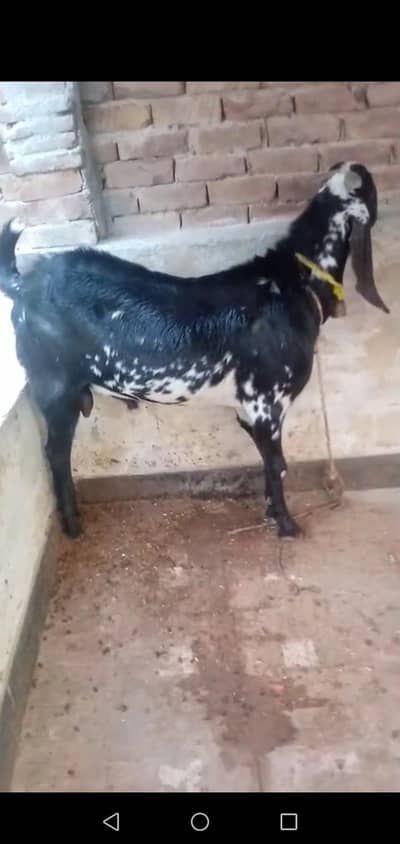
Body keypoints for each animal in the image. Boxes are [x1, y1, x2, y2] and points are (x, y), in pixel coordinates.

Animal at [0, 162, 389, 540]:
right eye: (371, 188)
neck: (290, 282)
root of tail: (24, 283)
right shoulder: (267, 402)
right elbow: (278, 465)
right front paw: (288, 525)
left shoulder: (248, 409)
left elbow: (267, 462)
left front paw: (271, 512)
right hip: (54, 386)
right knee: (55, 453)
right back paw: (73, 526)